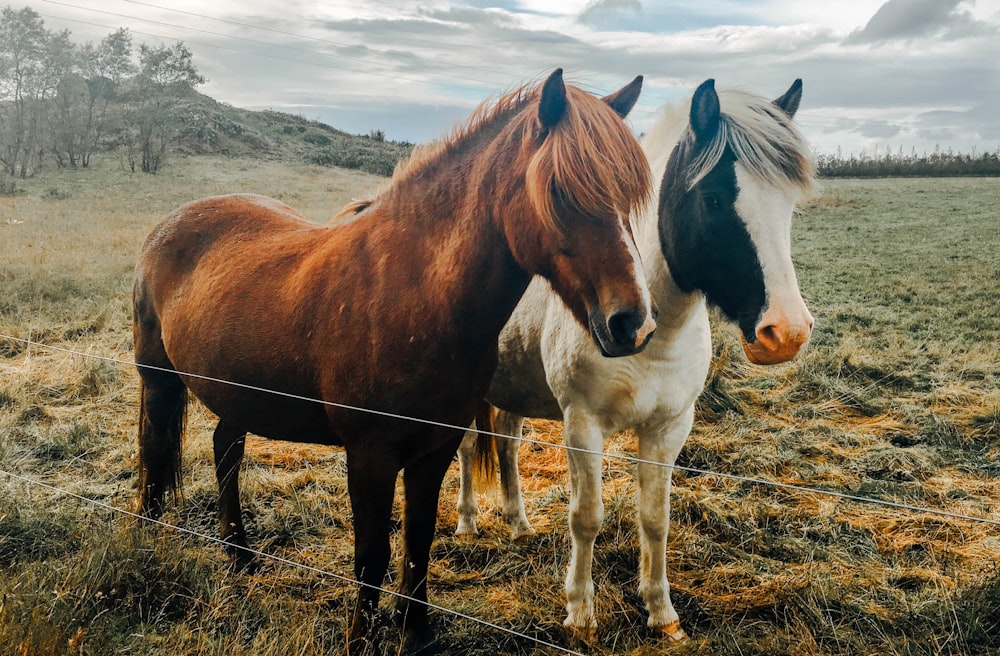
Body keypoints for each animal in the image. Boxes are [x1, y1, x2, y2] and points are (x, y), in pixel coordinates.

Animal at [131, 68, 656, 652]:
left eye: (630, 198)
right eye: (560, 191)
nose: (632, 323)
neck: (413, 295)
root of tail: (170, 224)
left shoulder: (435, 449)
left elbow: (418, 544)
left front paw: (417, 631)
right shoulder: (370, 455)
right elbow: (372, 556)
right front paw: (359, 639)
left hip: (240, 395)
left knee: (226, 451)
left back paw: (240, 554)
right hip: (158, 380)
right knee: (154, 452)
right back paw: (150, 543)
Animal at [458, 78, 816, 640]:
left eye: (789, 206)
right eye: (714, 199)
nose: (786, 333)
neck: (654, 335)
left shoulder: (667, 429)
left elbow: (656, 518)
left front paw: (662, 612)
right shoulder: (582, 426)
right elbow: (586, 517)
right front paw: (581, 613)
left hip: (512, 390)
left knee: (507, 447)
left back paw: (518, 525)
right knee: (469, 449)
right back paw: (468, 522)